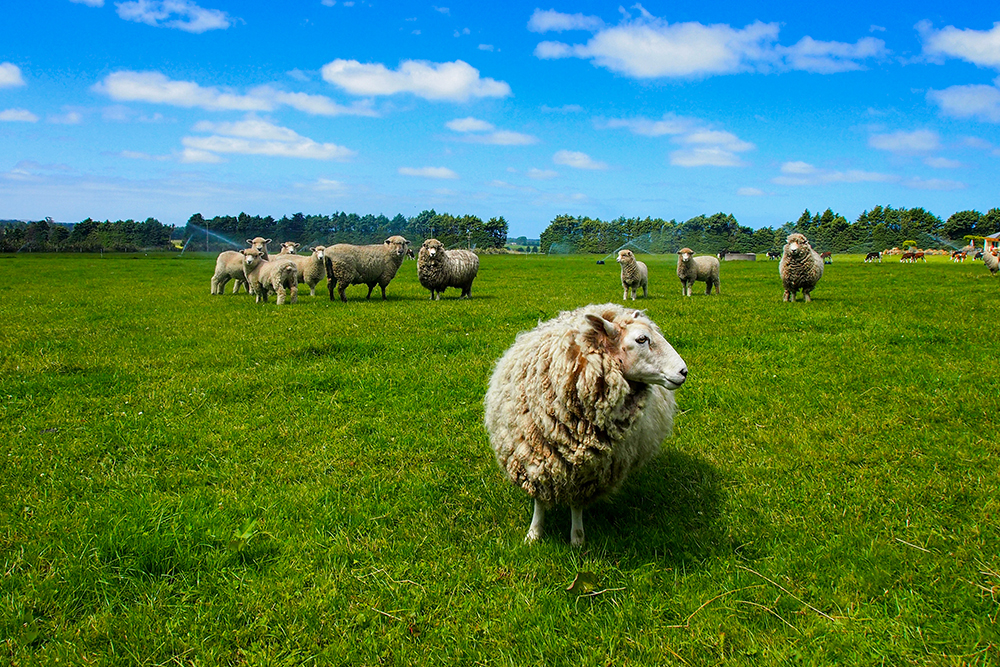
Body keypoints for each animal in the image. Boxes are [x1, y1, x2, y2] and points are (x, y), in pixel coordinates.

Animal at [484, 302, 688, 548]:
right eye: (642, 339)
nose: (684, 372)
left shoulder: (589, 473)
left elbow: (577, 505)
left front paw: (577, 540)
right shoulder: (535, 459)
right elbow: (539, 502)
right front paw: (533, 534)